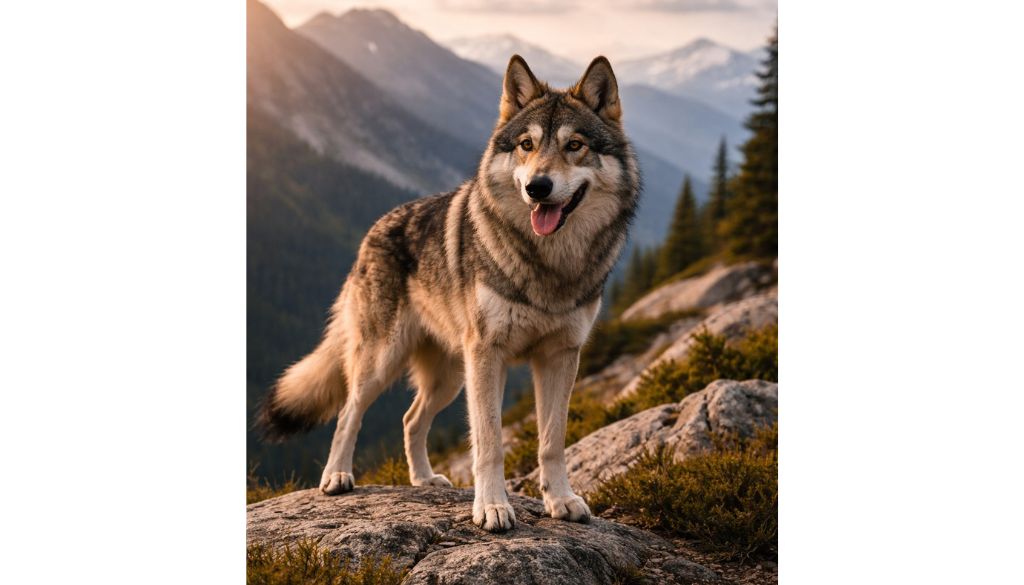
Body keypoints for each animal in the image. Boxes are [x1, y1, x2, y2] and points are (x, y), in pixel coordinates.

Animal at [259, 55, 640, 532]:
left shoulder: (560, 357)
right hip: (387, 363)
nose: (538, 187)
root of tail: (373, 230)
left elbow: (552, 441)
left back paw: (423, 479)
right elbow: (490, 442)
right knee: (349, 413)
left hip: (451, 377)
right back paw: (337, 477)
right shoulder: (489, 356)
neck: (548, 264)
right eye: (526, 145)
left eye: (574, 145)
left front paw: (561, 500)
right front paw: (492, 508)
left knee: (409, 419)